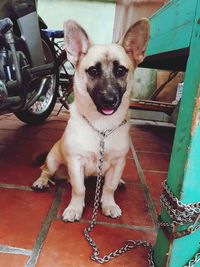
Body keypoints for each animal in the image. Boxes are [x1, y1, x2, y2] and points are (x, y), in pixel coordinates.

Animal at [32, 19, 149, 224]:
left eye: (121, 71)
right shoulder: (76, 163)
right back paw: (42, 181)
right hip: (53, 160)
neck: (102, 127)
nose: (109, 100)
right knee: (45, 170)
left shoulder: (118, 163)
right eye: (93, 71)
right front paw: (75, 208)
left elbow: (109, 187)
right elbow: (79, 189)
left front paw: (109, 204)